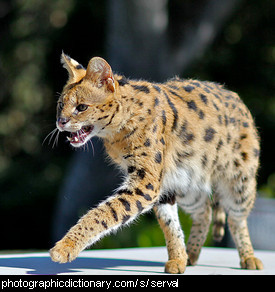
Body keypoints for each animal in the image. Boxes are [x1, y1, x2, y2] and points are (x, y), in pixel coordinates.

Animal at [49, 53, 264, 274]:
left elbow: (104, 213)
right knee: (204, 212)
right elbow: (170, 225)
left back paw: (248, 257)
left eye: (81, 107)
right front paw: (178, 258)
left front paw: (66, 246)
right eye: (60, 105)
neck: (117, 129)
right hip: (188, 184)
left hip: (240, 182)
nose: (60, 122)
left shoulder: (147, 182)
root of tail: (235, 97)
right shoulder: (160, 184)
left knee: (237, 219)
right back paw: (191, 254)